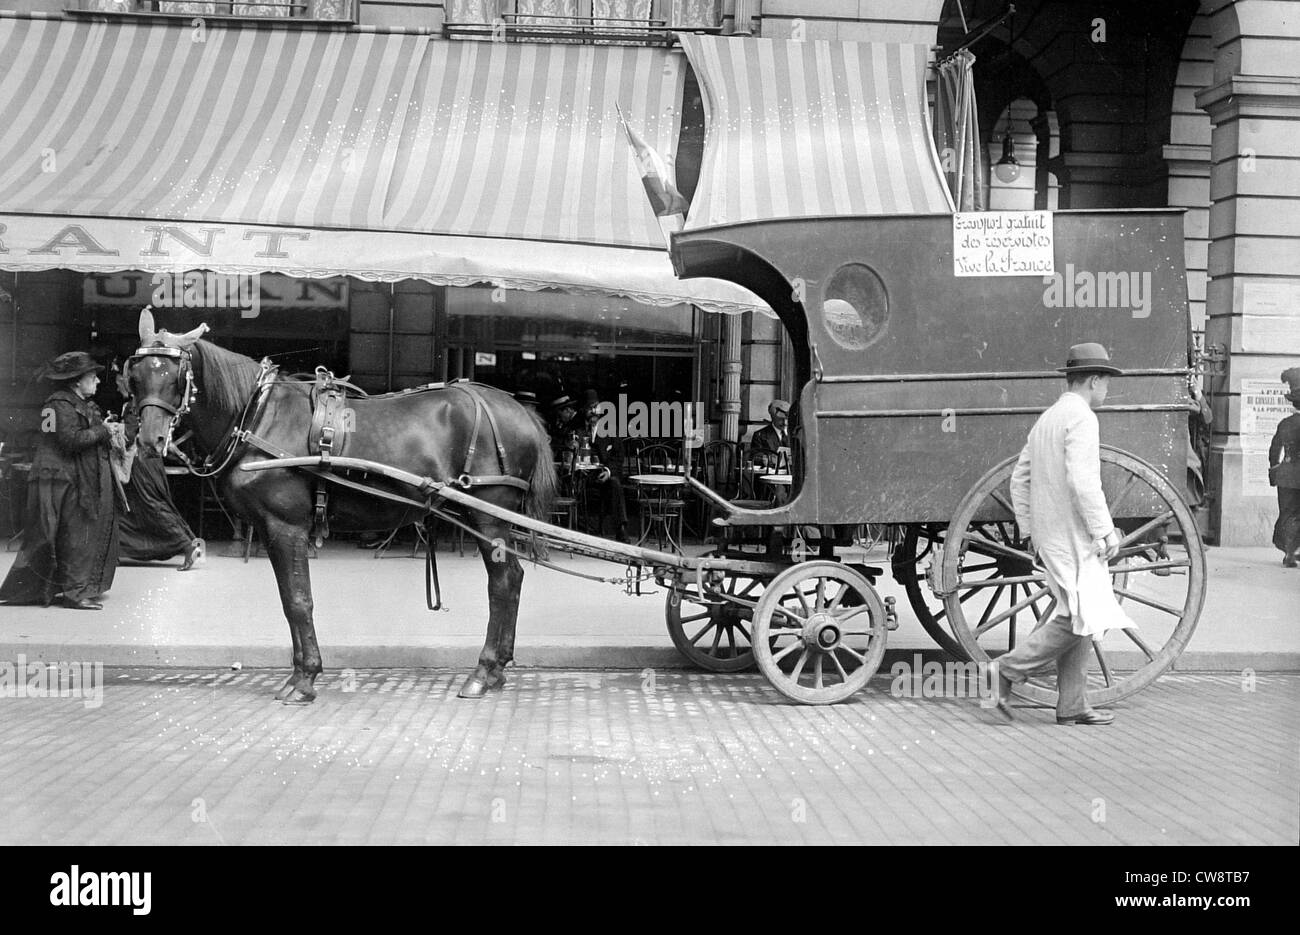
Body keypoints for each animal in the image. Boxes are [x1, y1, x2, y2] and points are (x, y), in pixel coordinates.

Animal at [129, 310, 556, 707]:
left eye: (176, 376)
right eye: (135, 375)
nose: (151, 440)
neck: (258, 416)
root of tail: (519, 411)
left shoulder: (286, 526)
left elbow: (298, 601)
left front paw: (305, 679)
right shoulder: (269, 530)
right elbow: (288, 599)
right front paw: (298, 673)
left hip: (489, 517)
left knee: (502, 584)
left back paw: (483, 672)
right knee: (513, 579)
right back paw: (497, 669)